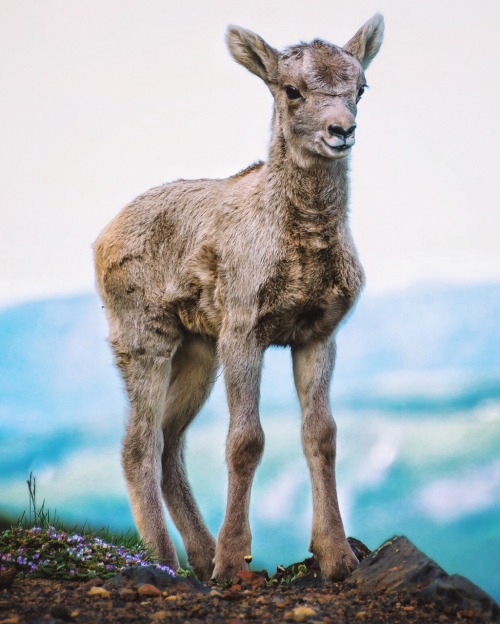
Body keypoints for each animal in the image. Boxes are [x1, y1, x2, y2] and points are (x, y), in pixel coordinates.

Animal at [93, 12, 382, 584]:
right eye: (291, 90)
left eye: (360, 86)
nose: (341, 130)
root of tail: (100, 240)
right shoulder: (244, 329)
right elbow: (246, 441)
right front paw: (233, 562)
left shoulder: (319, 333)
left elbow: (322, 435)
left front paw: (336, 556)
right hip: (143, 336)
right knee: (139, 444)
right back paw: (164, 560)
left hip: (198, 349)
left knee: (170, 442)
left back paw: (199, 555)